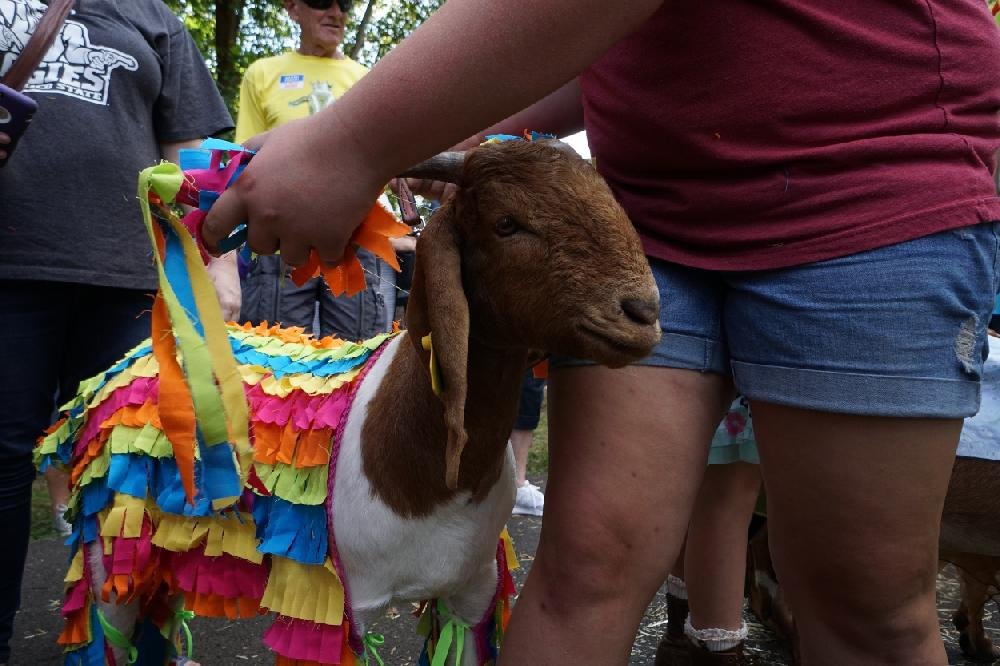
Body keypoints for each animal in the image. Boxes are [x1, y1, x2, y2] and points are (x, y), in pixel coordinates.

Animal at [38, 139, 662, 666]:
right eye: (507, 222)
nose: (643, 313)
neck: (424, 469)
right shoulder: (335, 604)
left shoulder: (471, 593)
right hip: (112, 543)